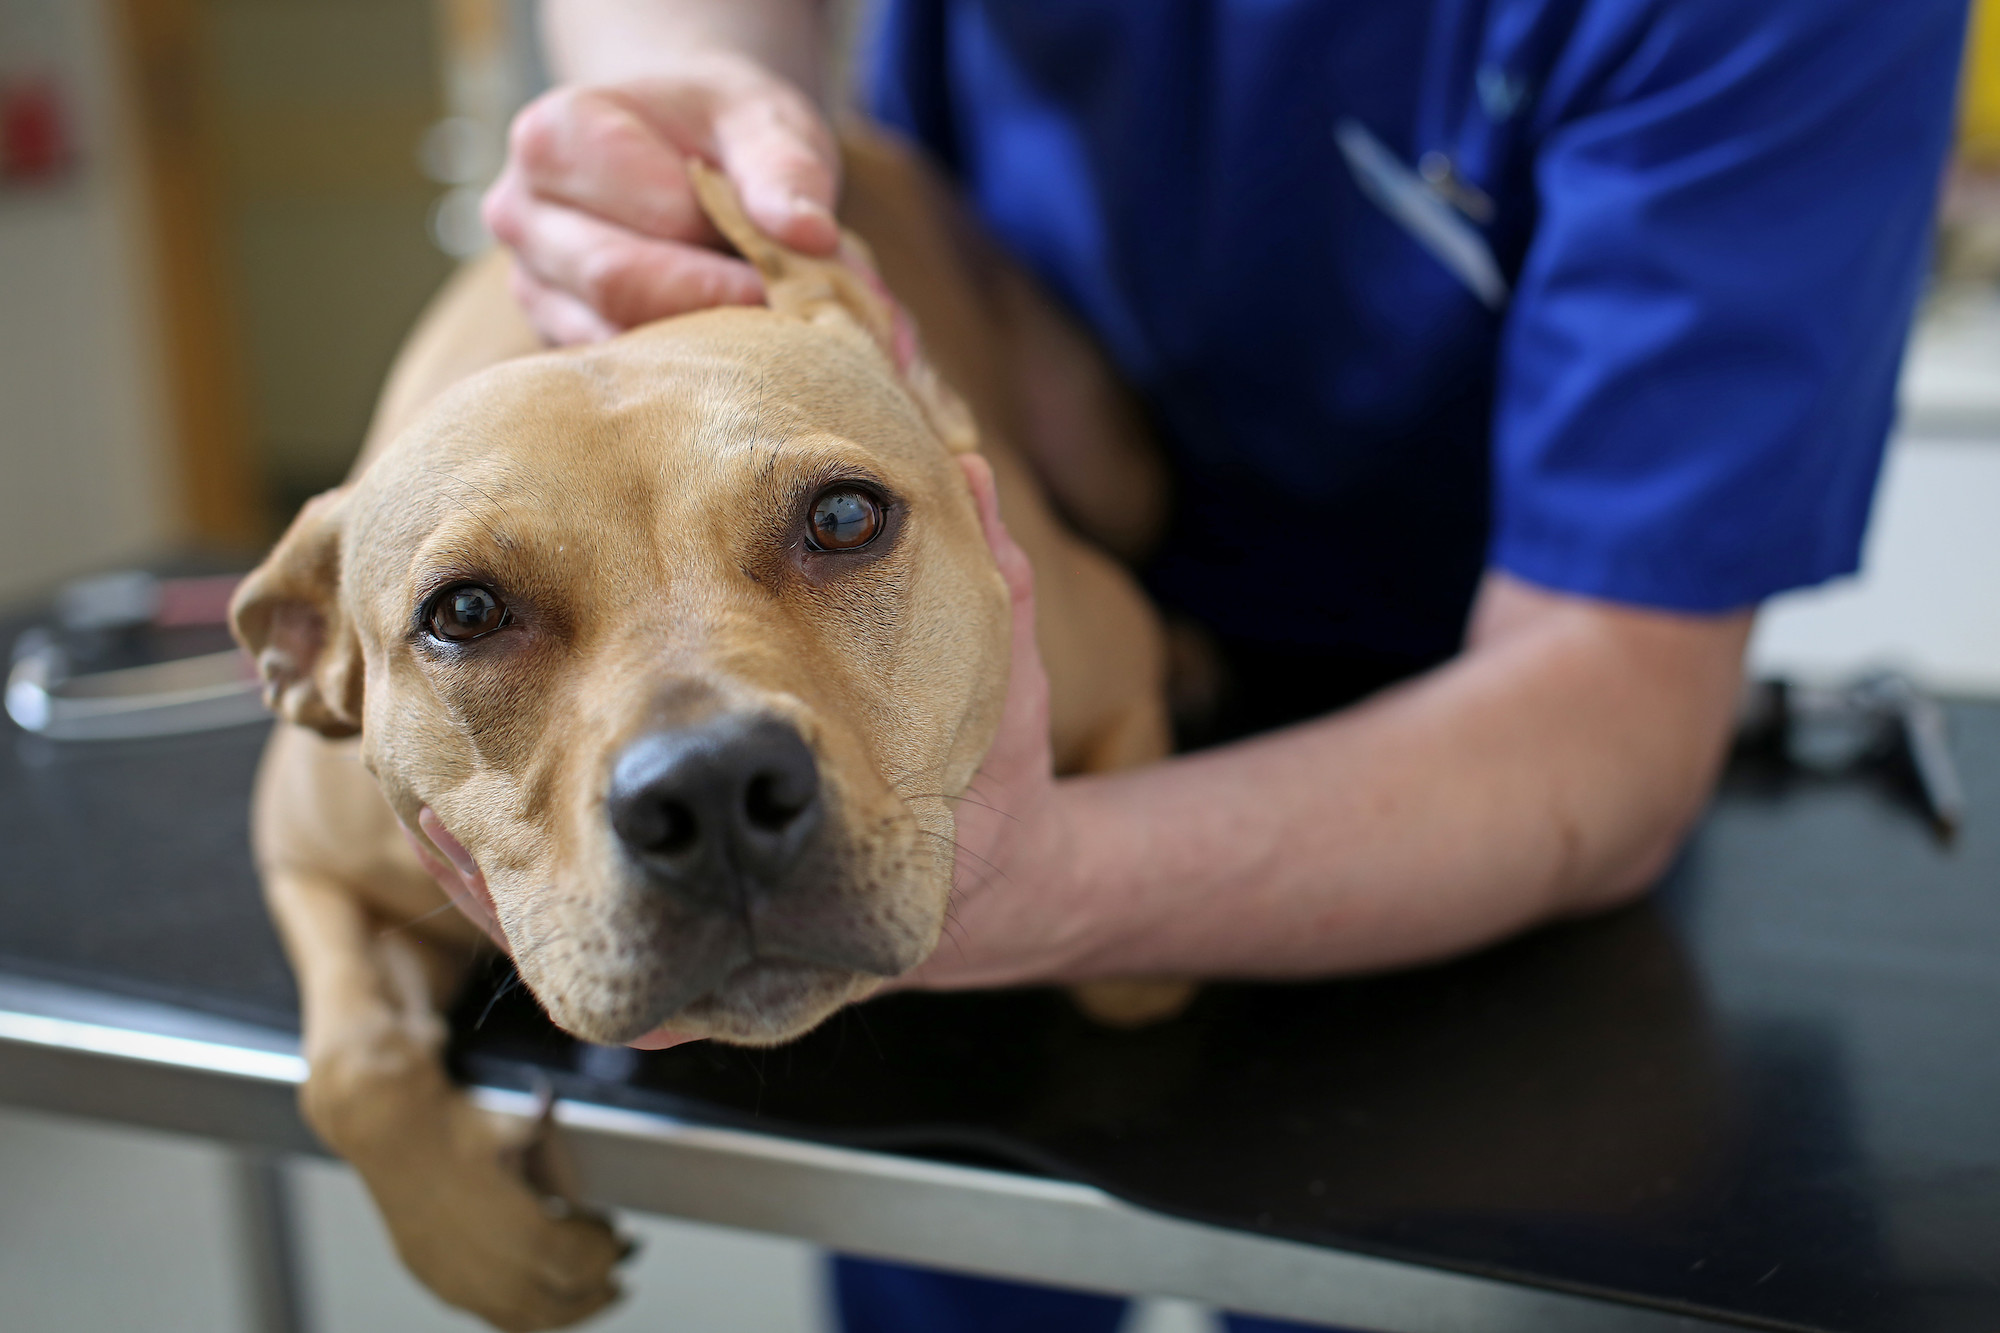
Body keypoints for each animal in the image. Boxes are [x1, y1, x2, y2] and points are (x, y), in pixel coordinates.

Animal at [230, 127, 1184, 1328]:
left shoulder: (1118, 672)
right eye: (465, 611)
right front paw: (492, 1251)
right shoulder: (304, 851)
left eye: (843, 516)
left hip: (1116, 465)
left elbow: (1130, 983)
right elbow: (356, 1068)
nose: (715, 792)